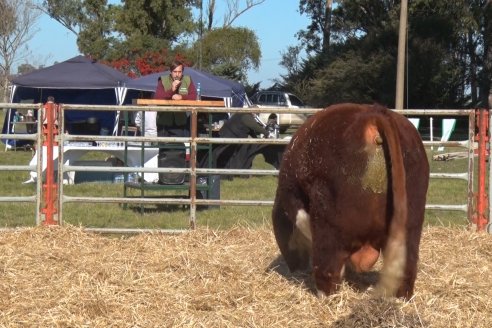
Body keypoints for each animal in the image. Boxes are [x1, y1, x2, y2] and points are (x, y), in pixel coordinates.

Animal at [270, 103, 428, 300]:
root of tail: (373, 113)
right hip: (411, 224)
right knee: (407, 268)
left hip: (328, 224)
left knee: (327, 267)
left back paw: (324, 295)